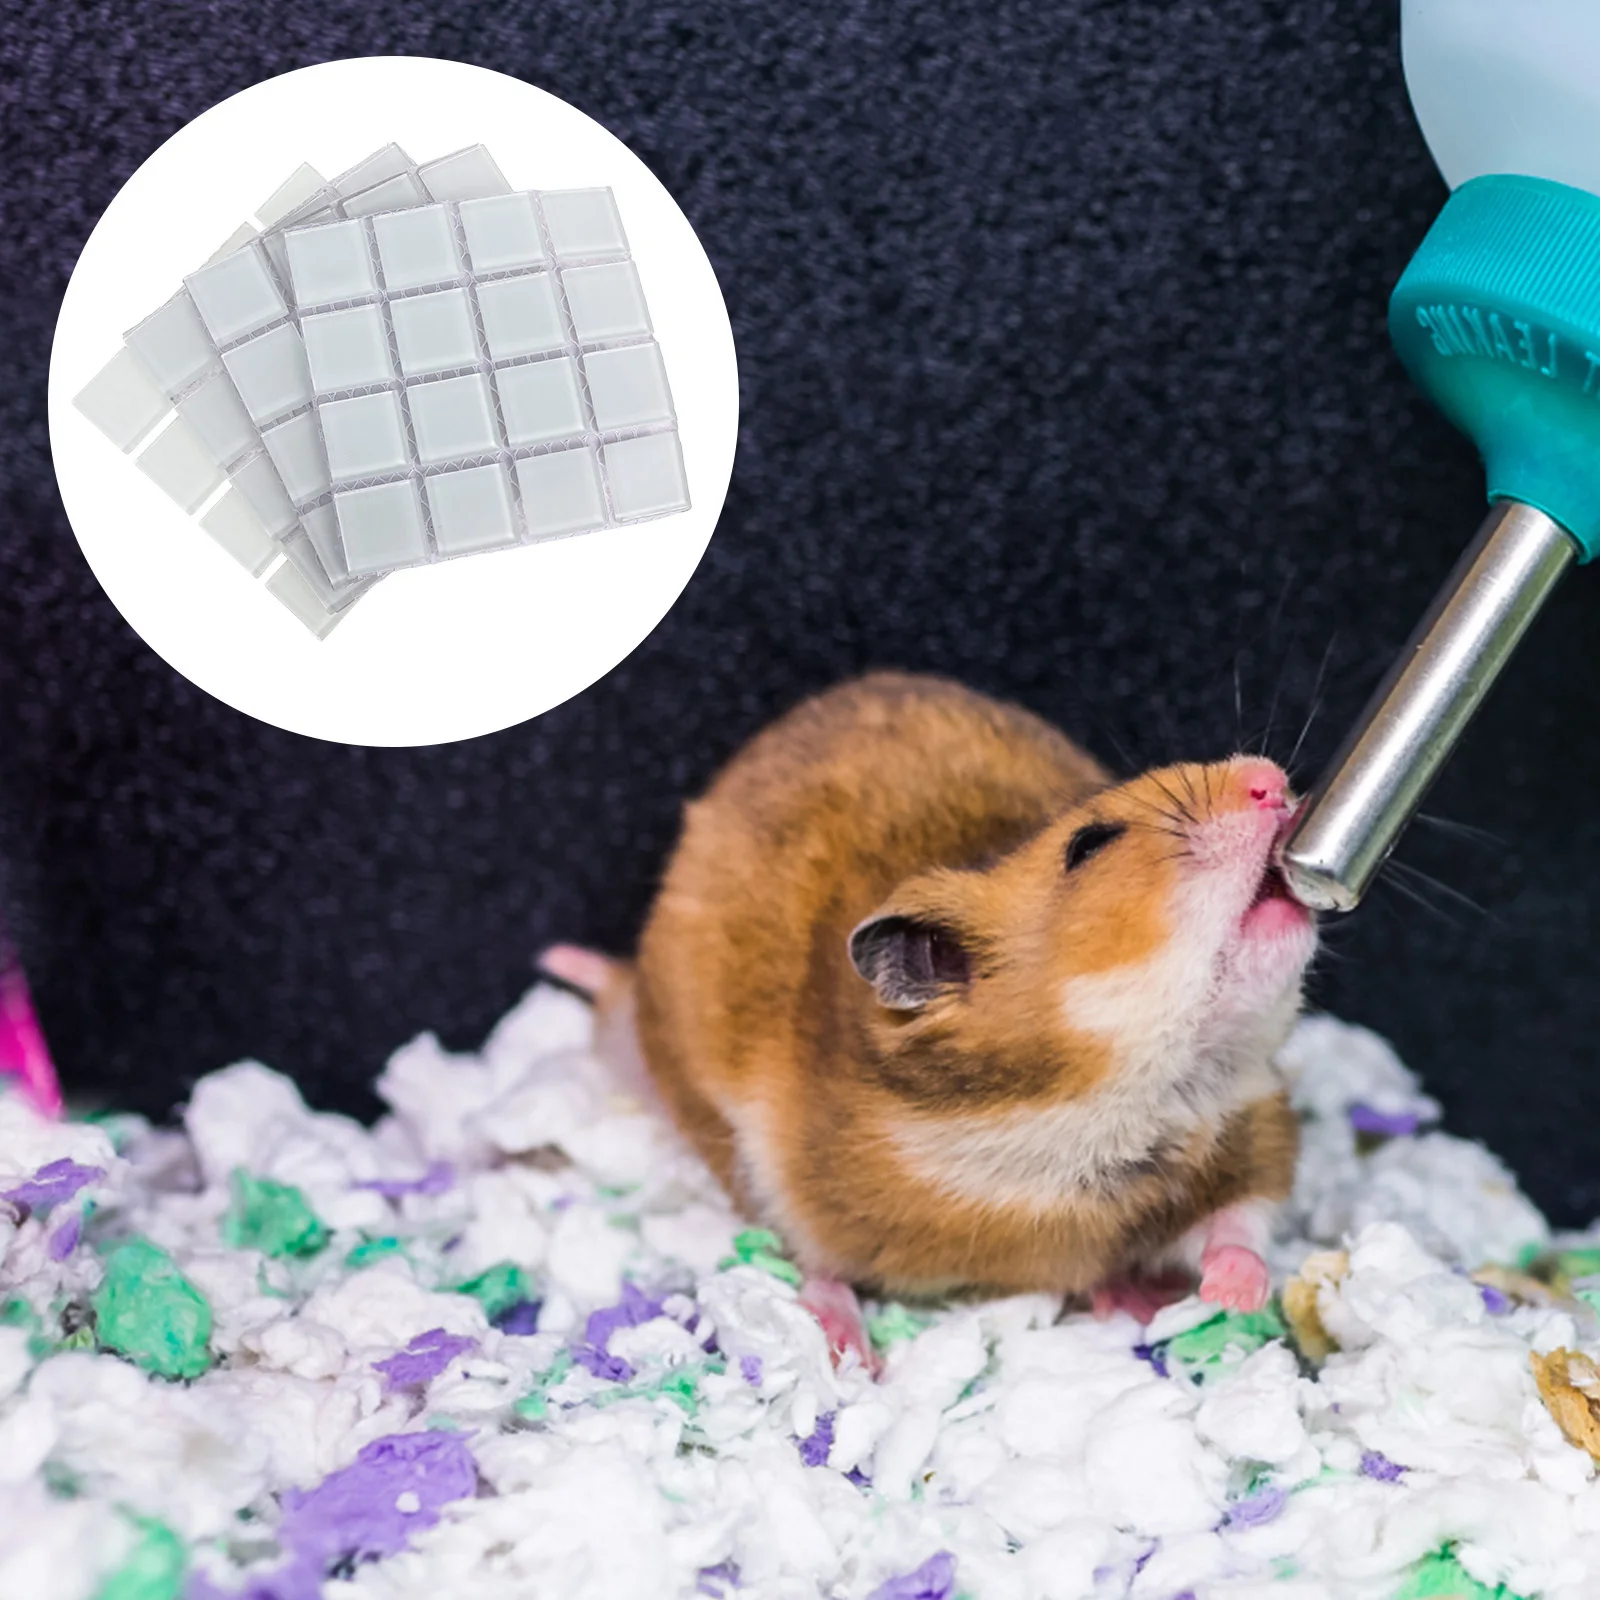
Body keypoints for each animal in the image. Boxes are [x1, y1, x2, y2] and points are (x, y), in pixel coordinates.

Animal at [543, 672, 1318, 1361]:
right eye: (1088, 843)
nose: (1270, 781)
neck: (1112, 1096)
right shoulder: (794, 1176)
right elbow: (814, 1256)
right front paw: (847, 1356)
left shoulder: (1255, 1127)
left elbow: (1240, 1221)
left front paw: (1231, 1296)